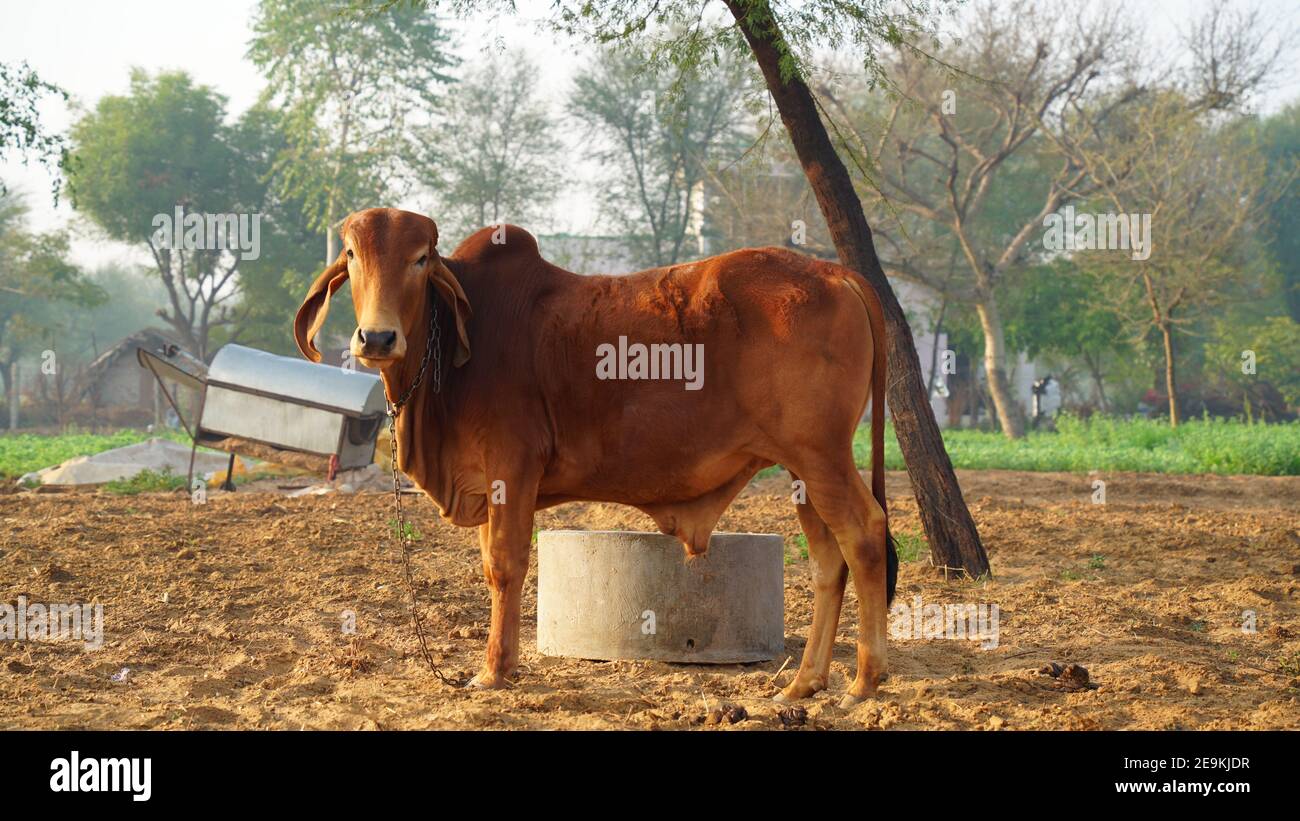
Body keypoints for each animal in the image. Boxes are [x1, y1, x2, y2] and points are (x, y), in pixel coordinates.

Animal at [293, 206, 894, 706]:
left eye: (420, 259)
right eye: (352, 254)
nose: (376, 338)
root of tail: (835, 273)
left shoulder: (512, 467)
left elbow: (505, 565)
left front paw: (493, 671)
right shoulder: (487, 481)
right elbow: (492, 567)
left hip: (821, 456)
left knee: (864, 534)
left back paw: (864, 682)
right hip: (800, 470)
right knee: (827, 559)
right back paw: (804, 682)